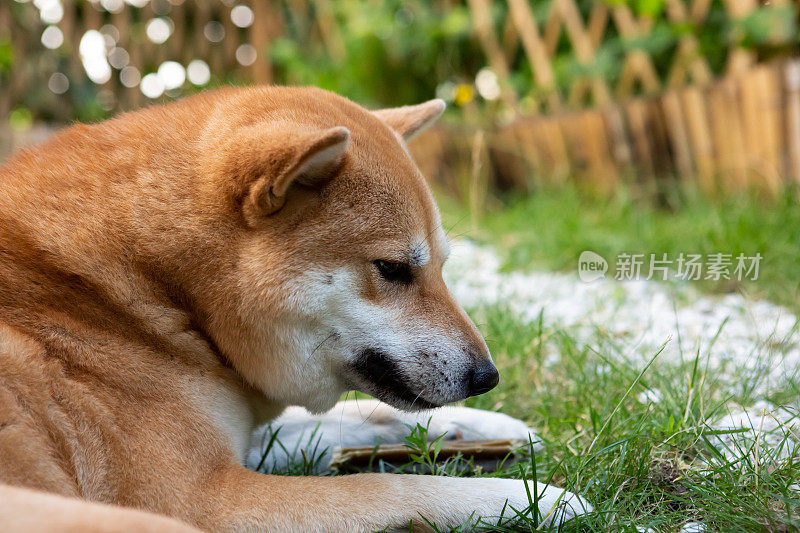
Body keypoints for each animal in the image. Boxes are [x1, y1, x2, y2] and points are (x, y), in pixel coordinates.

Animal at [0, 85, 588, 528]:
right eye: (394, 269)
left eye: (442, 266)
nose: (487, 377)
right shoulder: (203, 501)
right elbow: (385, 488)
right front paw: (532, 498)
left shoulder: (244, 437)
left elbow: (356, 418)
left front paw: (480, 424)